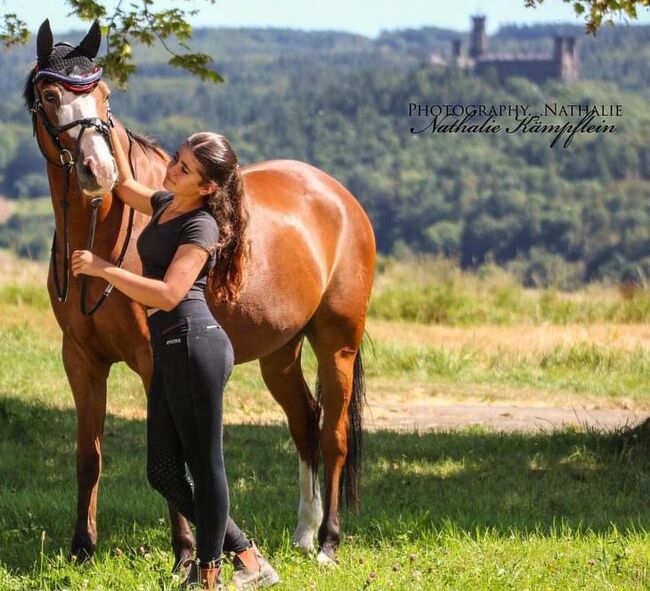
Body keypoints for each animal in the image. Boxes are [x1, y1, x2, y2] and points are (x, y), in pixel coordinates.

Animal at [22, 20, 374, 568]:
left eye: (104, 94)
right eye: (52, 93)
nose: (99, 172)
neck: (104, 234)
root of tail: (339, 197)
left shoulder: (155, 362)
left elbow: (174, 455)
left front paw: (185, 554)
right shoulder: (80, 359)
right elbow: (89, 455)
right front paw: (82, 547)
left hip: (337, 342)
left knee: (334, 436)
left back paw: (328, 543)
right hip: (280, 352)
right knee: (305, 424)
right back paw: (303, 533)